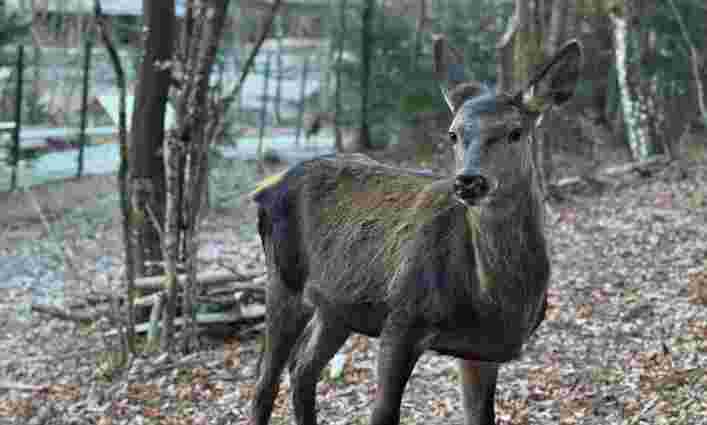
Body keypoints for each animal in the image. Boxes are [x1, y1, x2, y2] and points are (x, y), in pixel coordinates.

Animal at [252, 34, 584, 424]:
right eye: (453, 134)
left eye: (515, 132)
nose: (468, 181)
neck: (492, 301)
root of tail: (266, 190)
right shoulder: (401, 318)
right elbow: (382, 413)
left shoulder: (482, 350)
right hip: (283, 279)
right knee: (265, 382)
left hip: (336, 306)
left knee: (303, 367)